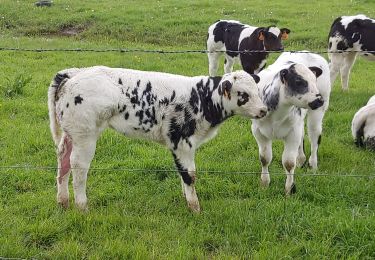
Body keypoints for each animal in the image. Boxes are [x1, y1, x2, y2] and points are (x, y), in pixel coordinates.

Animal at [48, 66, 268, 212]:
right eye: (243, 94)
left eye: (257, 91)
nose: (263, 110)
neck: (201, 98)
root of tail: (73, 73)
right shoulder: (182, 141)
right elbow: (190, 174)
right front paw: (194, 207)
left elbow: (182, 173)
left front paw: (186, 198)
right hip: (85, 135)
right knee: (78, 167)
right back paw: (82, 206)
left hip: (72, 134)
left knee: (63, 159)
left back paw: (63, 201)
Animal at [251, 52, 330, 195]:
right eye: (298, 81)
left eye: (314, 80)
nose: (319, 100)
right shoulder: (258, 132)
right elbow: (264, 158)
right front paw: (264, 183)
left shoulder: (293, 133)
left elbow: (288, 163)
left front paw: (290, 189)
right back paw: (301, 159)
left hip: (317, 114)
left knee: (314, 138)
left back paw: (312, 165)